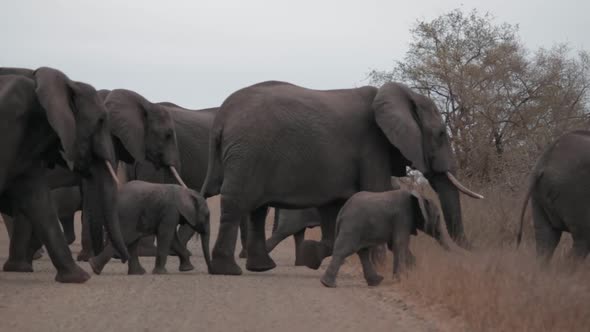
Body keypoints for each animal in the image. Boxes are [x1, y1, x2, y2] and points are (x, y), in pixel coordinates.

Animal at [201, 80, 484, 274]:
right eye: (440, 134)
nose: (477, 252)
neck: (399, 94)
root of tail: (221, 118)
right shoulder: (372, 146)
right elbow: (376, 192)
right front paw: (381, 266)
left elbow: (334, 210)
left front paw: (314, 257)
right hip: (247, 153)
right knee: (236, 204)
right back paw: (228, 270)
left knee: (257, 211)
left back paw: (261, 267)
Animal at [322, 189, 450, 288]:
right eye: (438, 216)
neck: (419, 196)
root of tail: (341, 211)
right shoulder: (402, 216)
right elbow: (400, 243)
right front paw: (401, 279)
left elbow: (395, 245)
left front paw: (411, 273)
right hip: (352, 226)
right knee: (344, 250)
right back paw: (328, 284)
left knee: (363, 252)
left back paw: (376, 282)